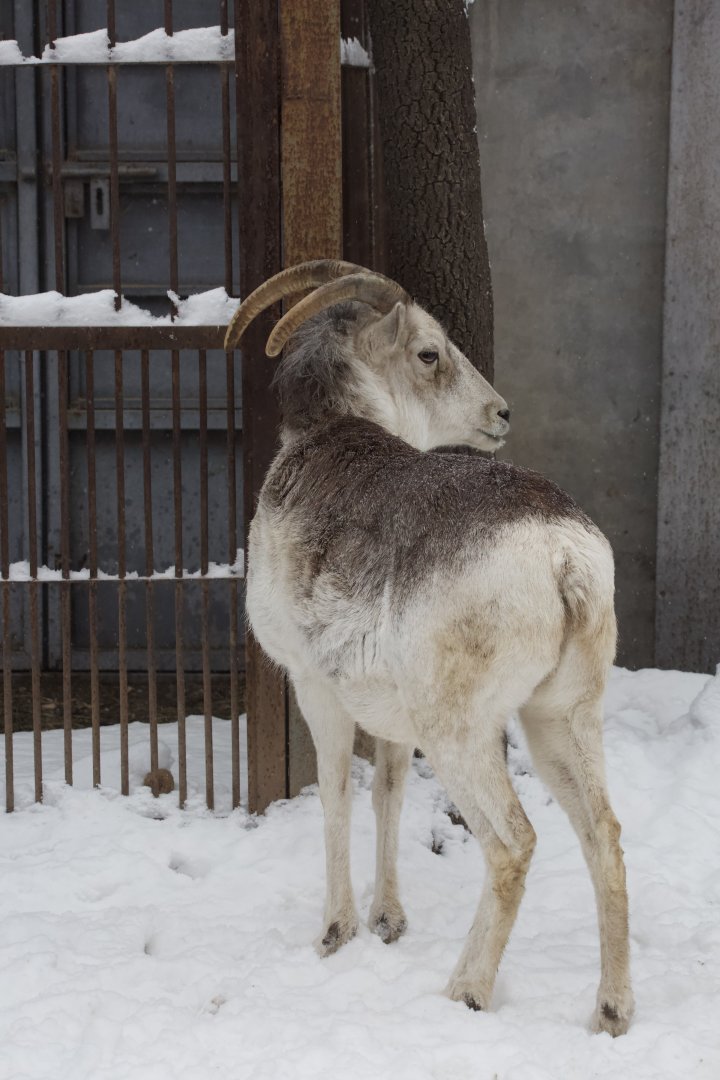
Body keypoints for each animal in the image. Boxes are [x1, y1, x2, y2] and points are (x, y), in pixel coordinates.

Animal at [225, 260, 634, 1036]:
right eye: (428, 354)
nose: (500, 414)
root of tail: (562, 556)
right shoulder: (389, 723)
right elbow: (386, 794)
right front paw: (389, 922)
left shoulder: (316, 690)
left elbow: (335, 795)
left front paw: (337, 934)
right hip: (560, 719)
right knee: (604, 834)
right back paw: (610, 1013)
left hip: (462, 734)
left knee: (513, 843)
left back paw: (463, 992)